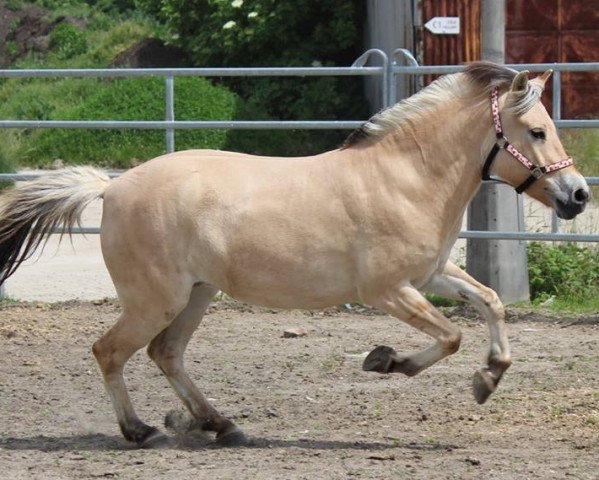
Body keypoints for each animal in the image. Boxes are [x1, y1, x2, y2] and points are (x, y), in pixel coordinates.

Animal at [0, 62, 592, 448]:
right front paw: (386, 361)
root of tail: (111, 187)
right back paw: (139, 430)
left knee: (165, 354)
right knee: (109, 351)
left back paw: (220, 425)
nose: (579, 195)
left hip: (196, 295)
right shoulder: (386, 291)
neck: (407, 177)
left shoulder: (430, 275)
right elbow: (450, 336)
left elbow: (491, 302)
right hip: (155, 300)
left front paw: (488, 379)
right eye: (536, 131)